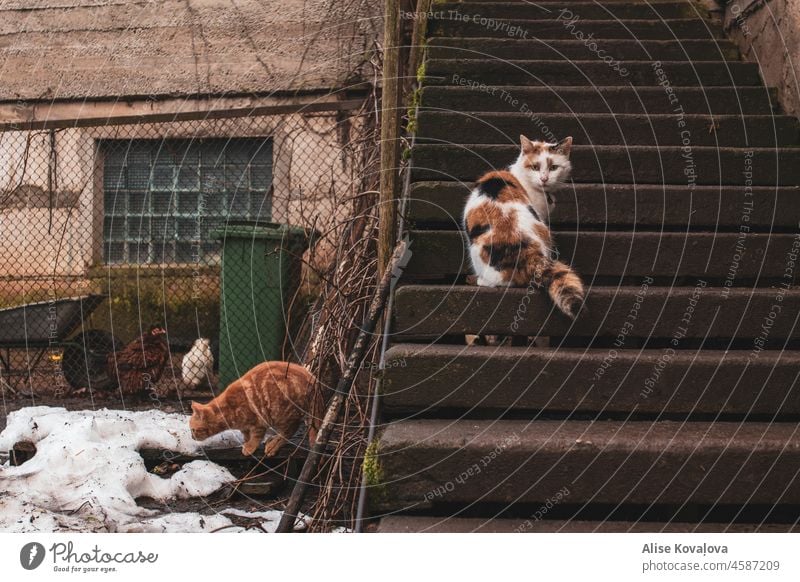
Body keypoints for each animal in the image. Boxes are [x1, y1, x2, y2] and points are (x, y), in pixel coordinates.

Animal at [189, 362, 324, 458]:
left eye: (193, 430)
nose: (191, 437)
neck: (228, 410)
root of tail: (313, 379)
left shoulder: (258, 421)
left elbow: (256, 436)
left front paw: (250, 447)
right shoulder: (245, 426)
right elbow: (245, 433)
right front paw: (246, 442)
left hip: (283, 415)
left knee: (289, 431)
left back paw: (273, 446)